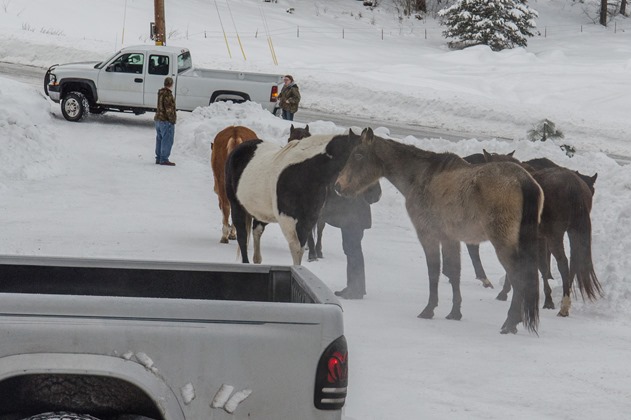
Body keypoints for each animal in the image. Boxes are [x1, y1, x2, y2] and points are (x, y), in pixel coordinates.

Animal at [225, 130, 360, 264]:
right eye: (358, 154)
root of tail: (237, 149)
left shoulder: (308, 220)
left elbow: (301, 248)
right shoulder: (288, 220)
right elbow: (296, 248)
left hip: (261, 212)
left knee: (257, 231)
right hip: (237, 206)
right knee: (242, 237)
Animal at [336, 128, 544, 334]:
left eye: (358, 155)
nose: (338, 186)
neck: (419, 176)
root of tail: (523, 180)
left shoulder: (428, 234)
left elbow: (434, 271)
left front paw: (429, 309)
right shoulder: (450, 238)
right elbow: (454, 272)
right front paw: (455, 312)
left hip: (503, 243)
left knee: (518, 278)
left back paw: (510, 322)